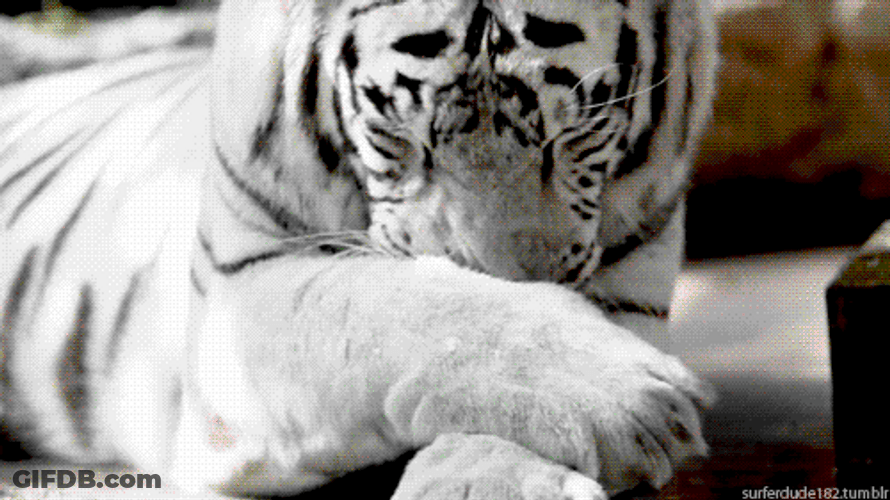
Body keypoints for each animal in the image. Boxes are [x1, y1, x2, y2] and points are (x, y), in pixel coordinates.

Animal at [0, 0, 718, 498]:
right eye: (400, 136)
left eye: (576, 133)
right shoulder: (235, 289)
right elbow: (396, 309)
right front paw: (629, 399)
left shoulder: (631, 287)